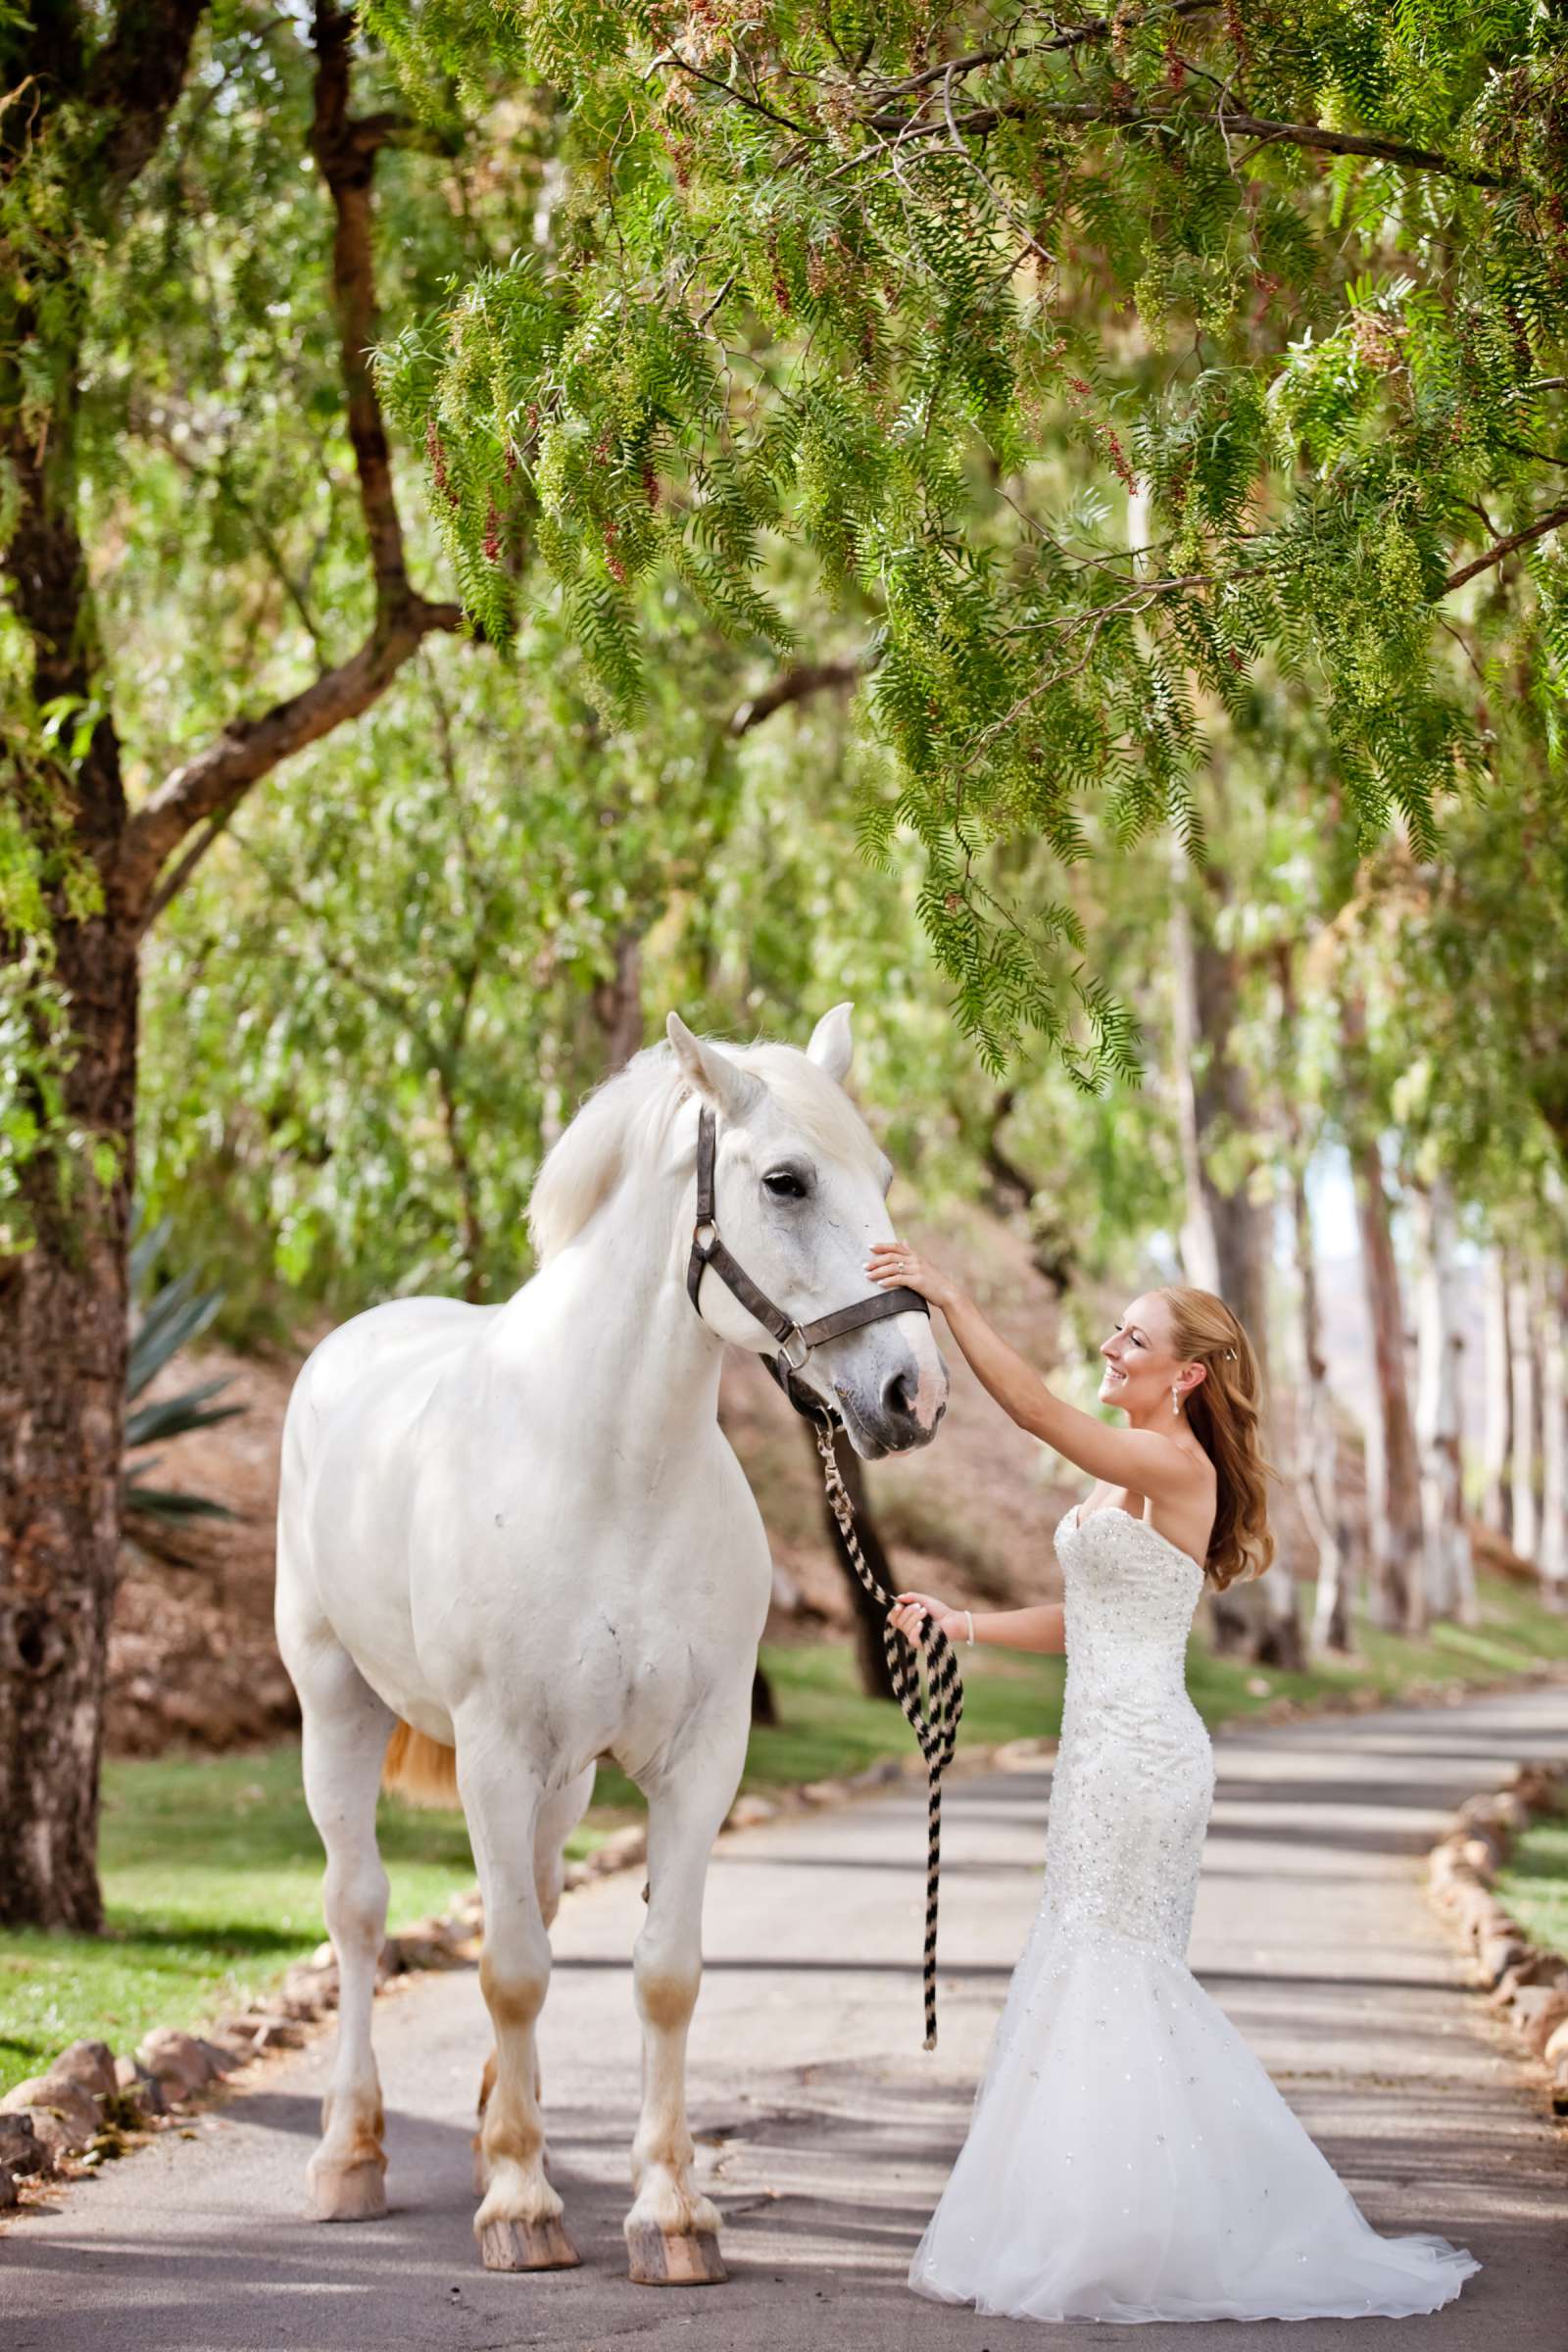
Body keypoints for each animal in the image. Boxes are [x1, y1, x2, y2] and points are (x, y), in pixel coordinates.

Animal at [272, 1006, 945, 2277]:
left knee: (527, 1891)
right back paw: (348, 2156)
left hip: (565, 1782)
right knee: (358, 1911)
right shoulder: (494, 1753)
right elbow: (511, 1969)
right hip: (338, 1707)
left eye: (882, 1178)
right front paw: (521, 2208)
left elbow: (660, 1975)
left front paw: (669, 2212)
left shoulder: (697, 1760)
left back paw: (494, 2126)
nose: (912, 1395)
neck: (609, 1472)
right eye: (784, 1181)